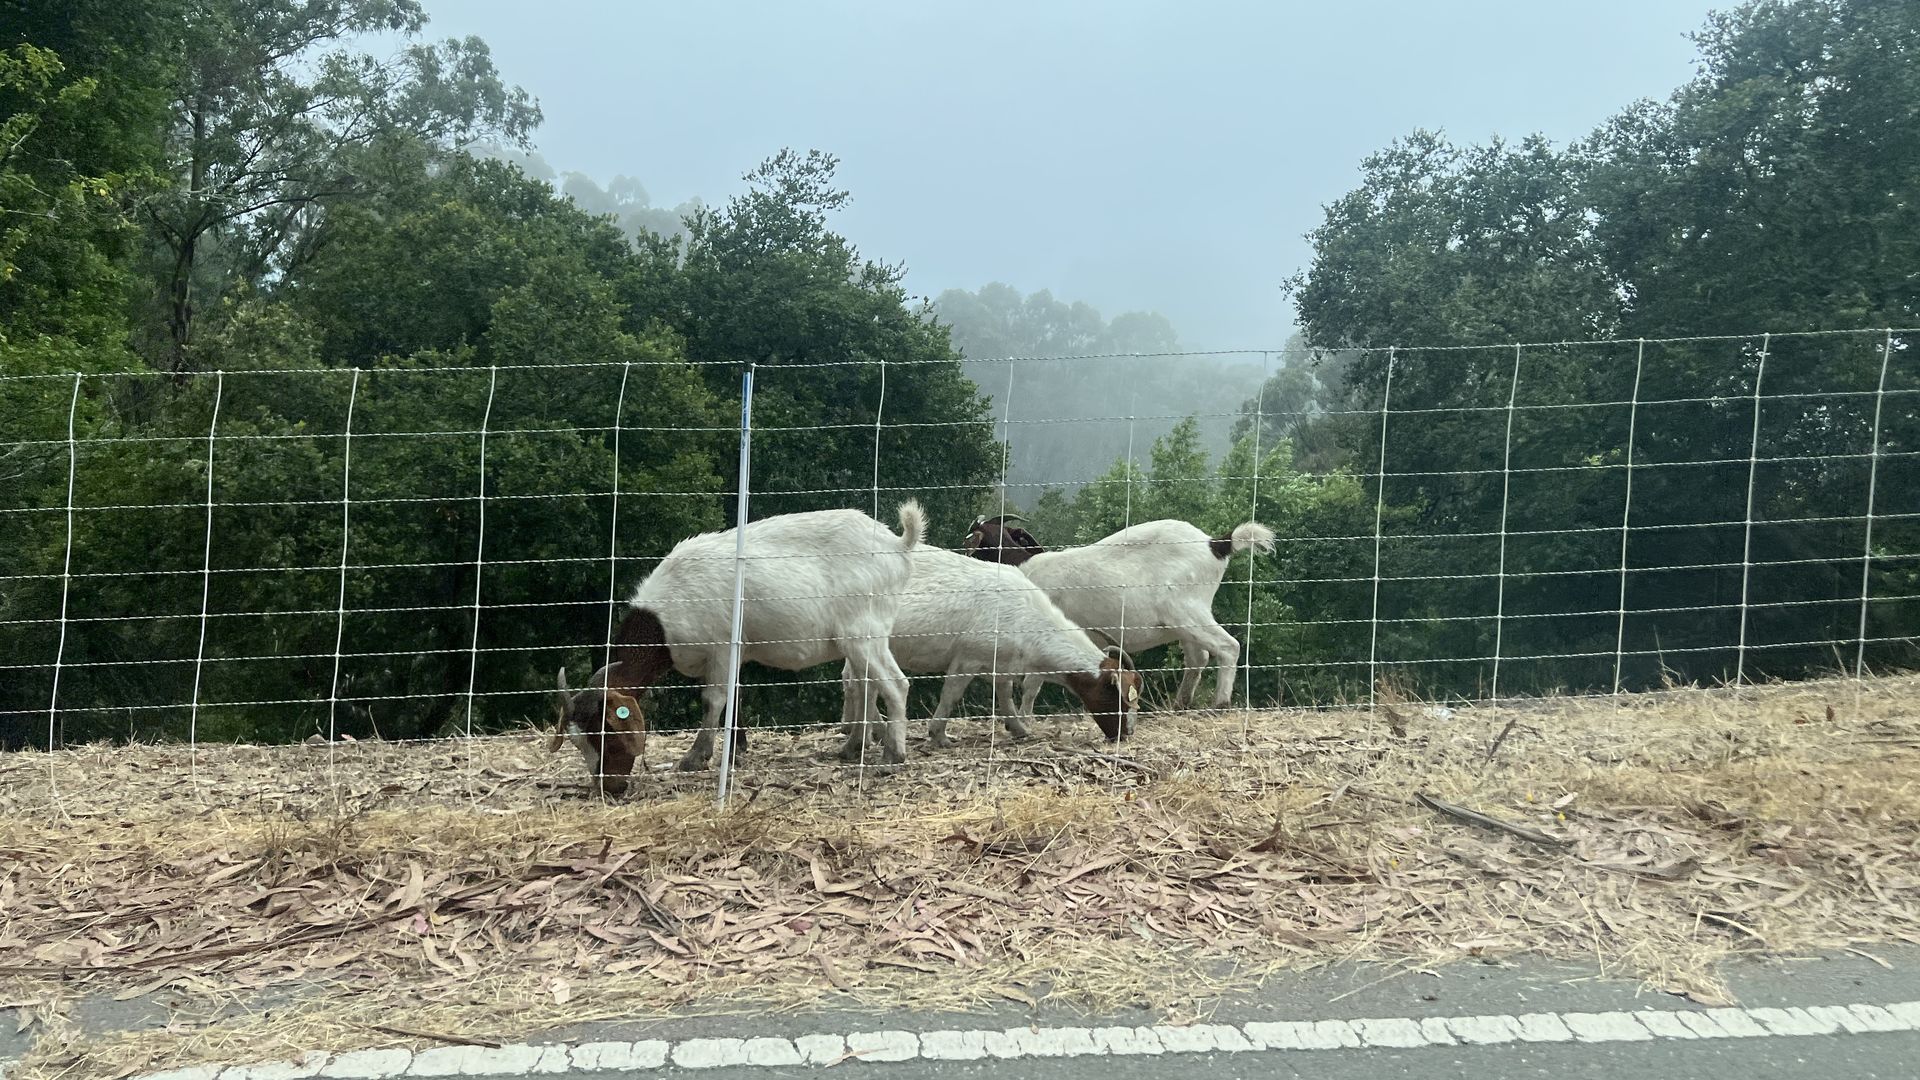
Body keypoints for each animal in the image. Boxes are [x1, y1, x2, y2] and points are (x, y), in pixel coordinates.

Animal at [554, 502, 925, 793]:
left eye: (606, 733)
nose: (609, 787)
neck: (666, 616)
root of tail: (898, 545)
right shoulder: (735, 650)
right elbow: (736, 694)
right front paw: (738, 749)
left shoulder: (720, 646)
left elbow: (714, 699)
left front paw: (696, 757)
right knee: (867, 685)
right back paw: (853, 748)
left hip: (864, 632)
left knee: (895, 684)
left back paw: (893, 755)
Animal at [964, 515, 1276, 710]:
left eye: (974, 539)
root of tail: (1216, 545)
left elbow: (1032, 685)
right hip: (1185, 621)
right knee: (1198, 658)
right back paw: (1179, 704)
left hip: (1187, 612)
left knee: (1228, 647)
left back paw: (1220, 703)